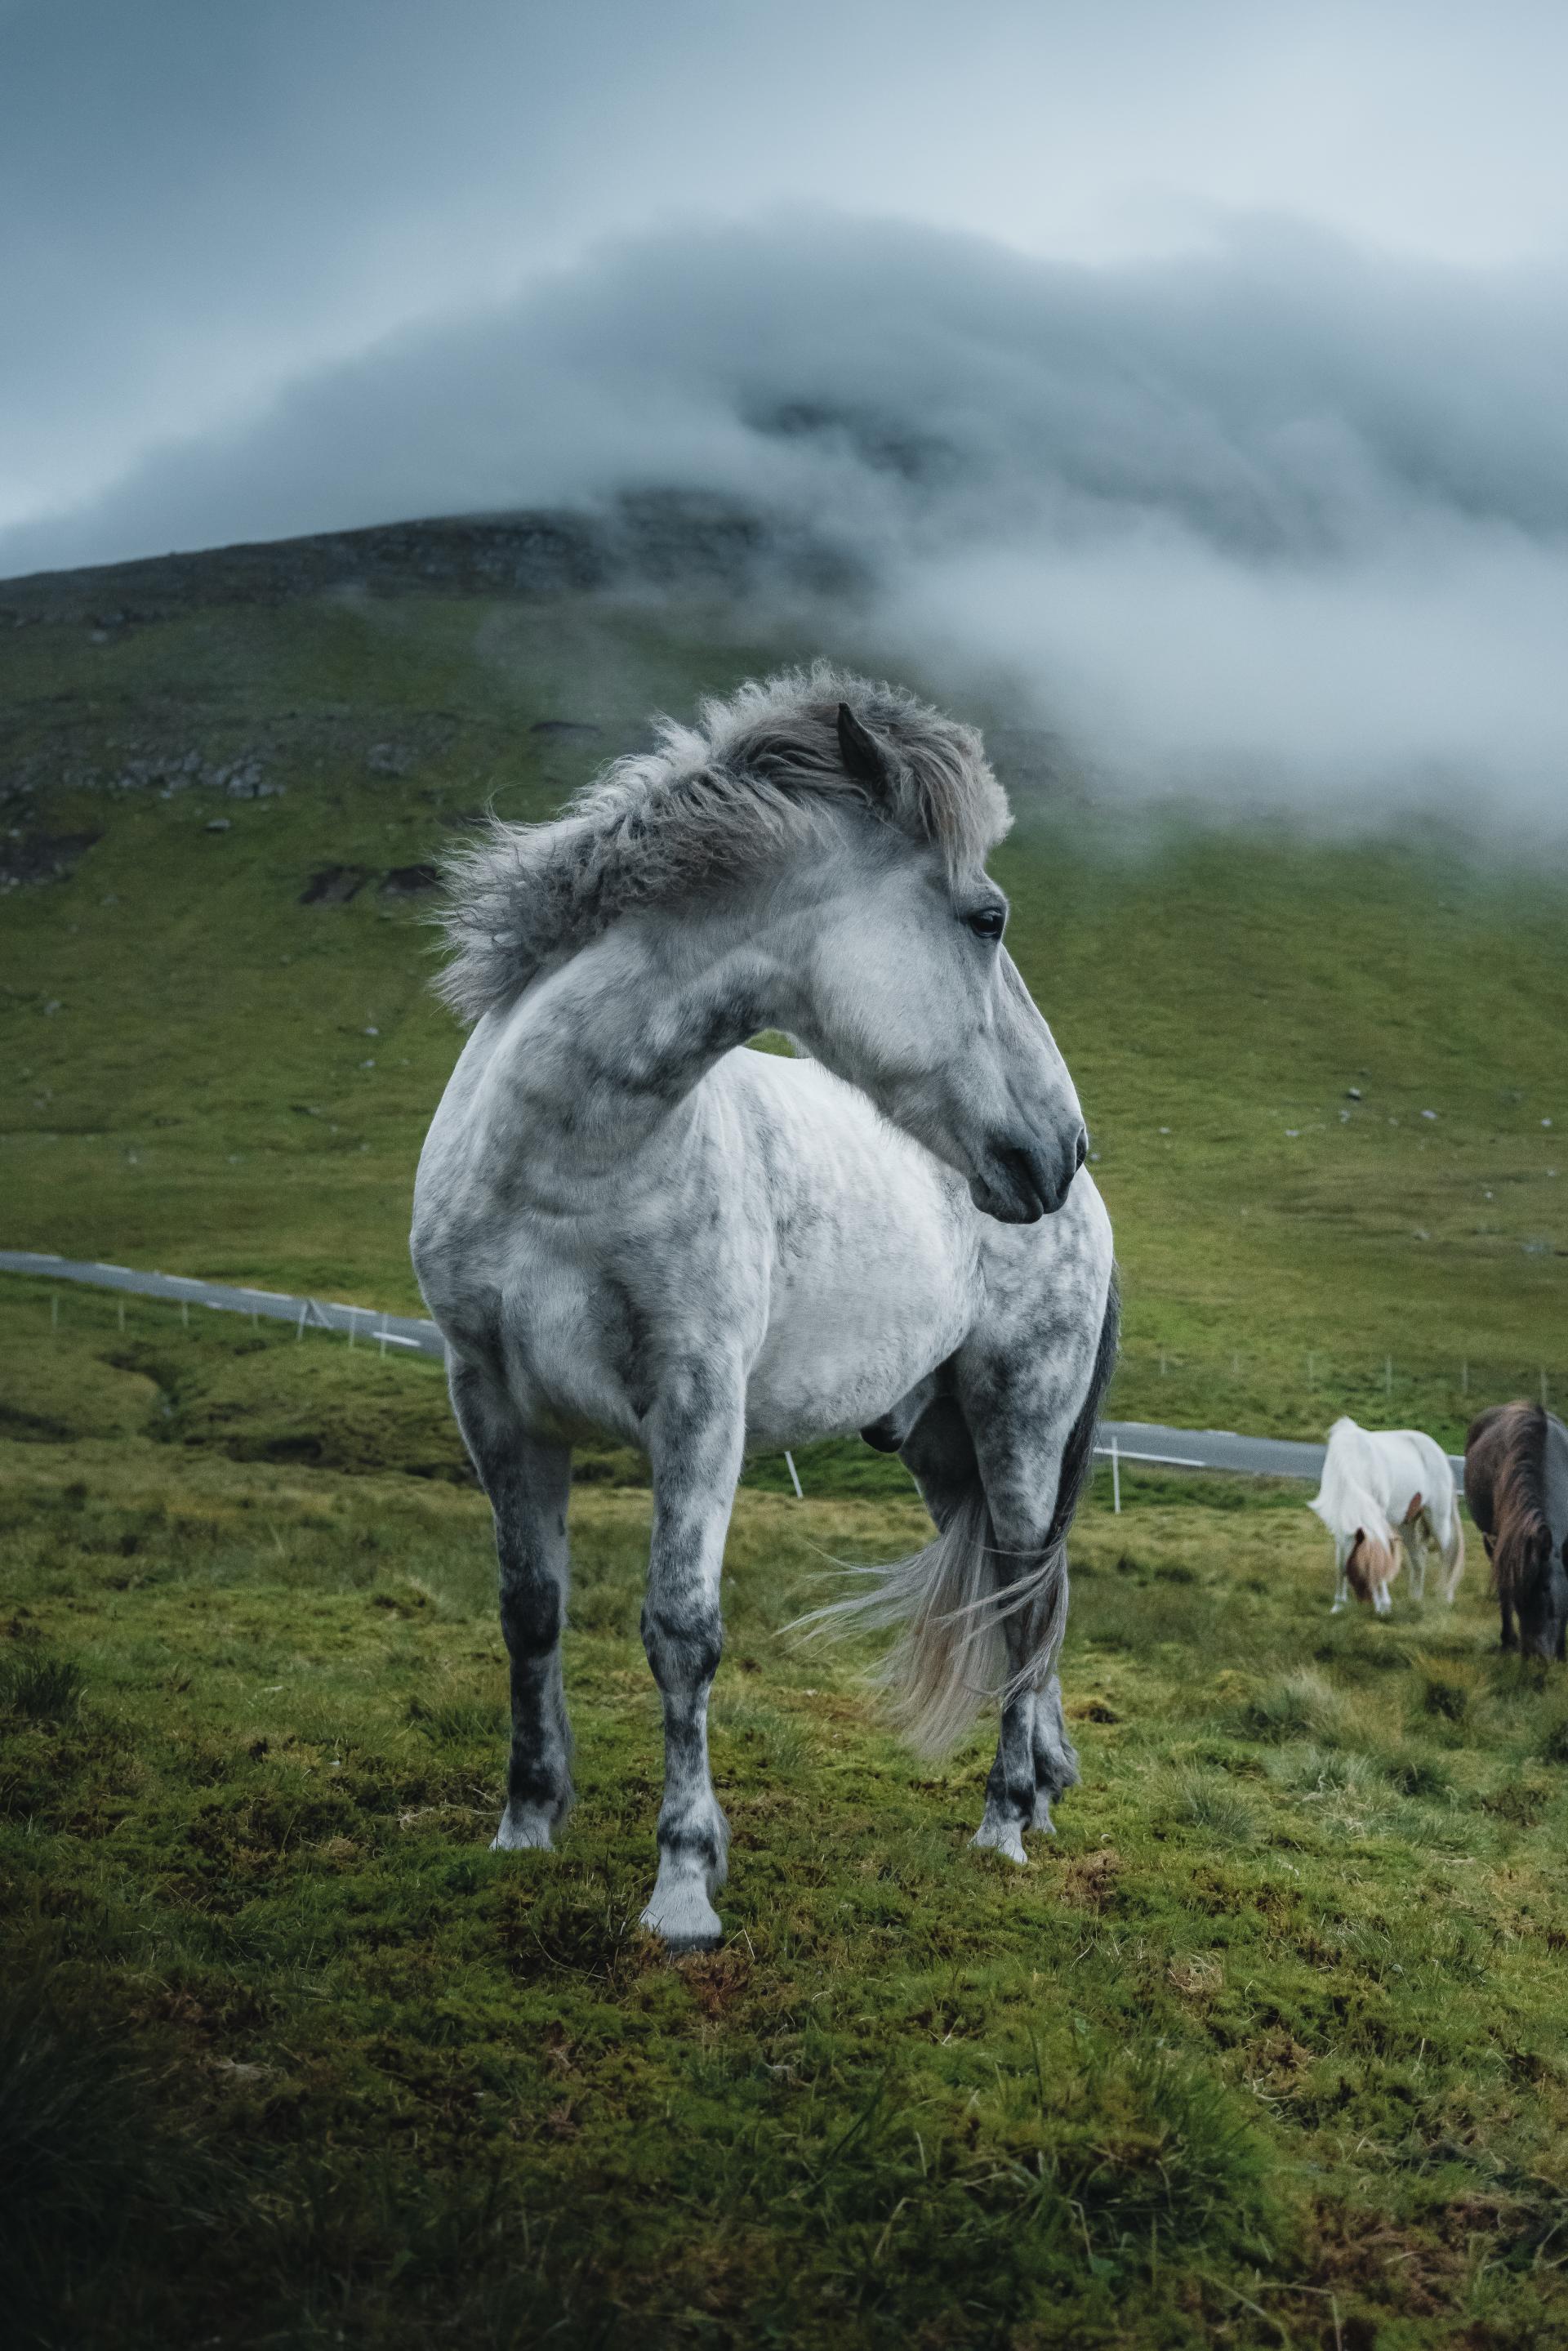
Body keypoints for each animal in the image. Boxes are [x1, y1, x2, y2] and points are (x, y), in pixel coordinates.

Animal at [408, 658, 1114, 1946]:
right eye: (986, 919)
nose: (1058, 1145)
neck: (566, 1161)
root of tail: (1090, 1208)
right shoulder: (492, 1404)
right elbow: (529, 1608)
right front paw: (525, 1823)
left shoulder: (698, 1407)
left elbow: (681, 1631)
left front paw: (684, 1883)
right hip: (940, 1446)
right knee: (1015, 1601)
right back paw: (1038, 1793)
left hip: (1021, 1426)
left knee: (1026, 1600)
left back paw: (1002, 1825)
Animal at [1307, 1410, 1467, 1617]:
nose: (1367, 1602)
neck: (1353, 1462)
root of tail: (1440, 1453)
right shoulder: (1341, 1524)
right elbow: (1340, 1562)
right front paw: (1338, 1606)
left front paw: (1384, 1605)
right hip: (1406, 1525)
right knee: (1418, 1558)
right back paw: (1415, 1600)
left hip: (1438, 1519)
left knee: (1447, 1554)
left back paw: (1445, 1598)